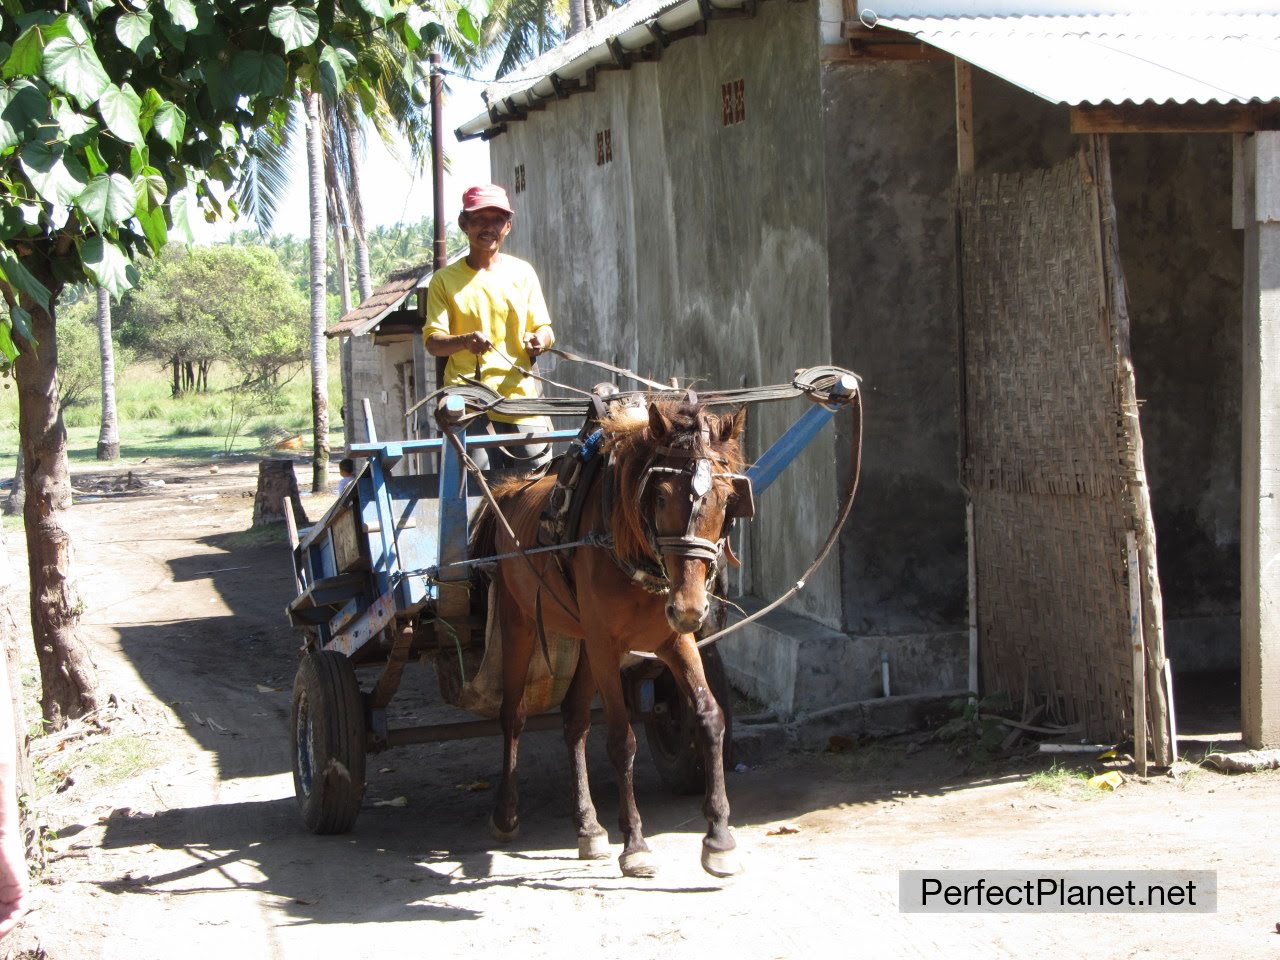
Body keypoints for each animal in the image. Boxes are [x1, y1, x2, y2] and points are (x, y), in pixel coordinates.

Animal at [471, 399, 747, 880]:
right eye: (660, 495)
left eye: (728, 500)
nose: (691, 609)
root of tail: (507, 490)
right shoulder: (607, 645)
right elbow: (622, 741)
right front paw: (634, 844)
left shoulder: (672, 641)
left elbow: (710, 717)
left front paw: (718, 839)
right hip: (520, 623)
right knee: (514, 716)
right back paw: (506, 814)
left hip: (585, 642)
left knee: (574, 720)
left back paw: (588, 826)